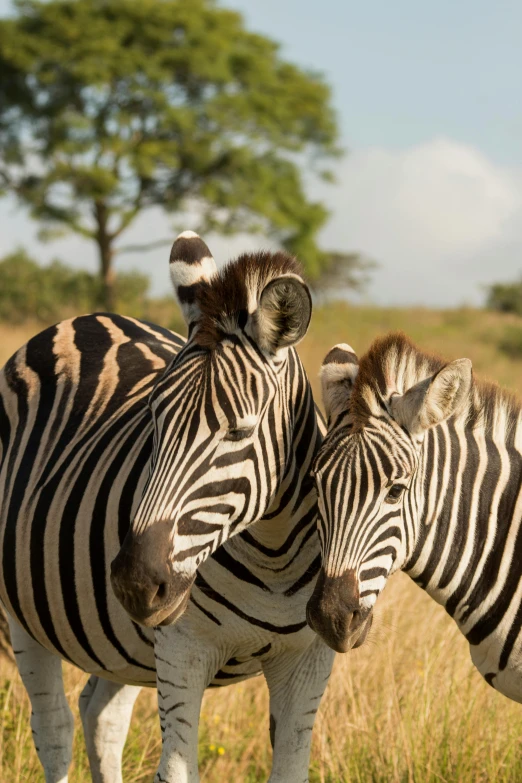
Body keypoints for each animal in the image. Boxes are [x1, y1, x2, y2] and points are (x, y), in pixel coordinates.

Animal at [0, 233, 334, 783]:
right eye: (152, 419)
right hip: (25, 615)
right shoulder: (182, 651)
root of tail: (88, 319)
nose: (134, 583)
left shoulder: (308, 661)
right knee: (53, 728)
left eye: (240, 431)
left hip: (124, 646)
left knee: (101, 717)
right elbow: (176, 769)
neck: (275, 555)